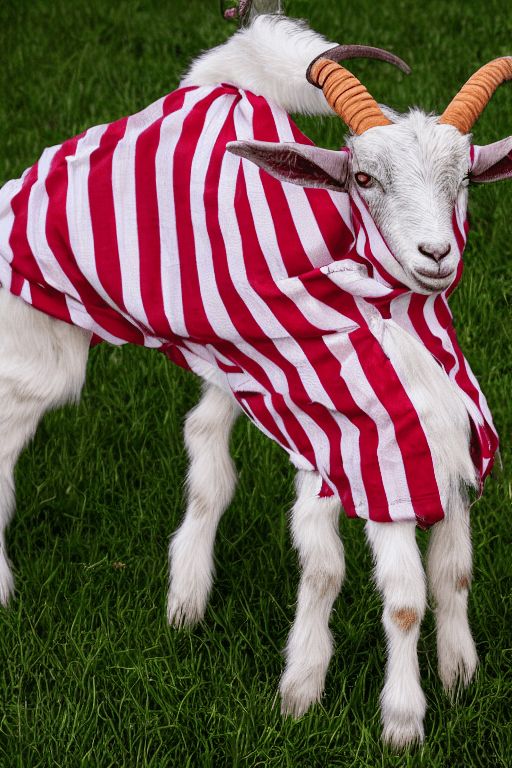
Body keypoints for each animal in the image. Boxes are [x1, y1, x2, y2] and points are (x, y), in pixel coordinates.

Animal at [0, 4, 511, 749]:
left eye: (466, 178)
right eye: (363, 180)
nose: (435, 254)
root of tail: (211, 82)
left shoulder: (425, 454)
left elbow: (451, 572)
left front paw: (458, 677)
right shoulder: (377, 466)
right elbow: (401, 597)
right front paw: (398, 721)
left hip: (231, 362)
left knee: (206, 436)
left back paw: (186, 597)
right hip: (42, 317)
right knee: (16, 425)